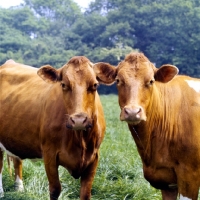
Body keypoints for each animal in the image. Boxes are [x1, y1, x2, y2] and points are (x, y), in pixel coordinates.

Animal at [0, 56, 106, 200]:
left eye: (95, 85)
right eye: (63, 84)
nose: (78, 120)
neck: (79, 140)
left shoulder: (94, 156)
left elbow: (86, 193)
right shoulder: (49, 154)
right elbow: (55, 189)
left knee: (17, 160)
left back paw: (19, 189)